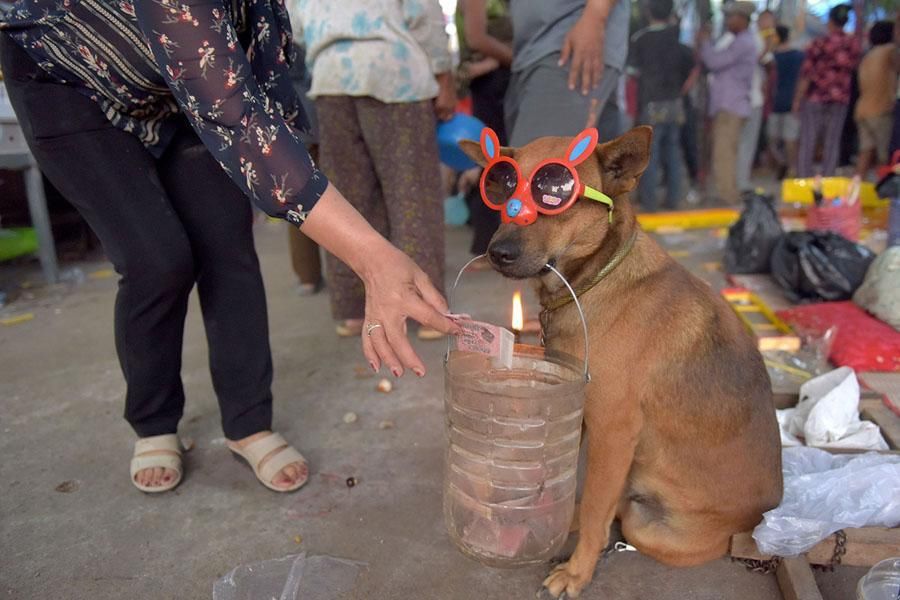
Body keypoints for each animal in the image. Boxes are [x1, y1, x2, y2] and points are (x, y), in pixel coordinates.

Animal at [460, 129, 784, 596]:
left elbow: (598, 508)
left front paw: (577, 573)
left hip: (647, 525)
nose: (496, 252)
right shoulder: (575, 410)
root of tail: (755, 524)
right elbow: (558, 481)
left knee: (616, 514)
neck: (595, 282)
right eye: (500, 186)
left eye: (554, 193)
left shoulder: (613, 432)